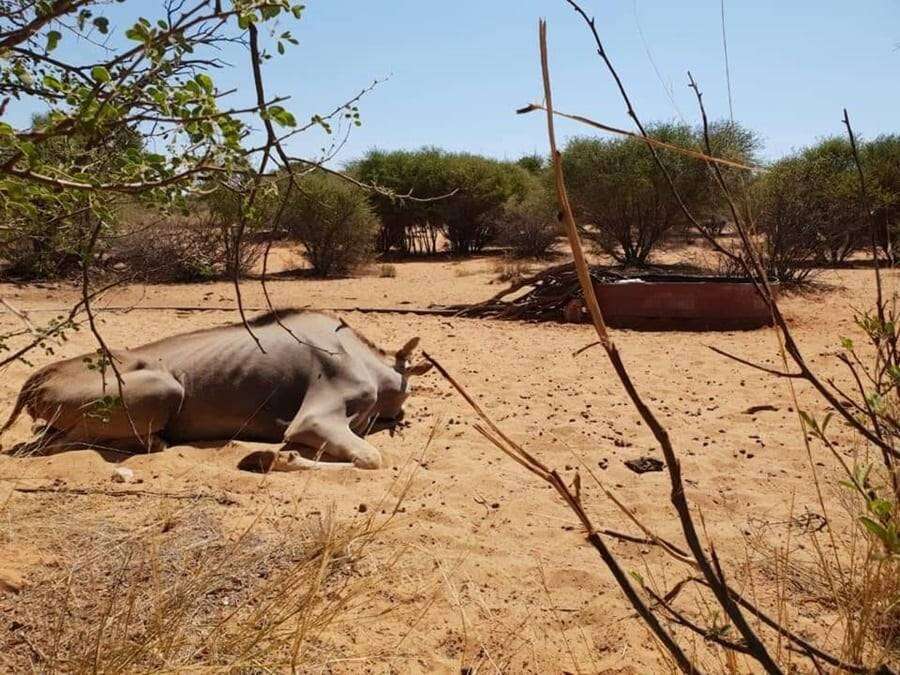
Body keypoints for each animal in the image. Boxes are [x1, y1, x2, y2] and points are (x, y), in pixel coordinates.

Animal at [0, 312, 432, 470]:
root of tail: (36, 382)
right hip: (167, 390)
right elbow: (371, 460)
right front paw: (266, 459)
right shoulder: (312, 421)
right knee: (53, 444)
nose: (400, 416)